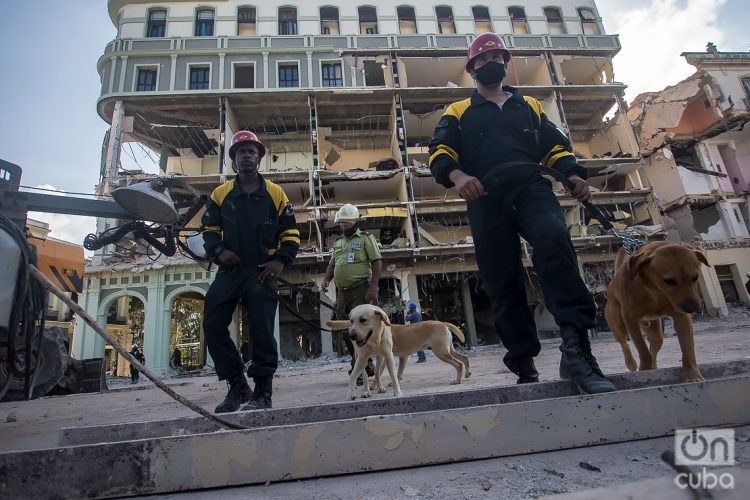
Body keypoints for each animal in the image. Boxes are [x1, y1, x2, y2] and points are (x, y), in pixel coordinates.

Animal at [328, 304, 472, 398]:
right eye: (352, 321)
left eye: (363, 320)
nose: (351, 335)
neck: (375, 338)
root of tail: (443, 323)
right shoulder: (383, 357)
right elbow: (385, 374)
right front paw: (376, 387)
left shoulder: (388, 356)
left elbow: (390, 374)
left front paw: (389, 387)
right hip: (447, 350)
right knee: (464, 358)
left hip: (441, 352)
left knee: (459, 363)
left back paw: (458, 380)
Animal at [604, 240, 712, 380]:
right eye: (669, 281)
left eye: (695, 277)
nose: (693, 308)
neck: (657, 292)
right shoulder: (631, 320)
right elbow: (642, 348)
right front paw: (644, 369)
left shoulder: (681, 317)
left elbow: (687, 349)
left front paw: (693, 374)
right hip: (617, 324)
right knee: (624, 344)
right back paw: (631, 363)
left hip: (655, 331)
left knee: (654, 346)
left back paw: (653, 367)